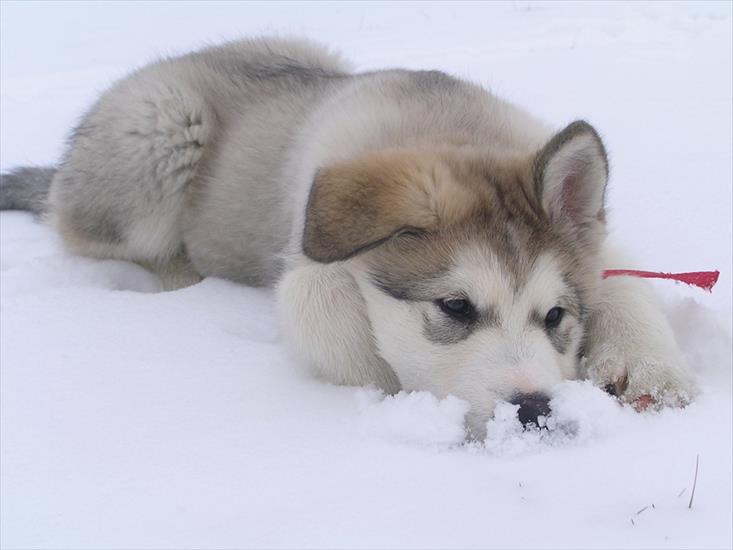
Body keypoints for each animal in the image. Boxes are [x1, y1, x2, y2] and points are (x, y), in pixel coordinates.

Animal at [0, 36, 696, 438]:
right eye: (455, 307)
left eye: (555, 316)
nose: (535, 412)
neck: (453, 129)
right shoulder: (310, 265)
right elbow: (332, 316)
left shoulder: (600, 245)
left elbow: (627, 287)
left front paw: (648, 368)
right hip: (162, 132)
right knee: (92, 232)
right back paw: (185, 277)